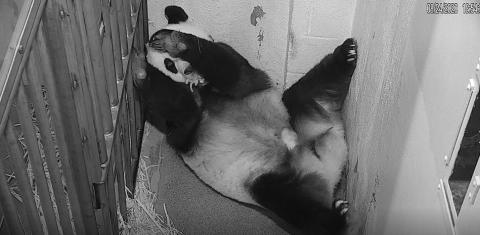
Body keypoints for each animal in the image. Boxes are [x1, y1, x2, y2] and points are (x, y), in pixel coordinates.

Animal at [138, 5, 356, 235]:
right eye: (169, 64)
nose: (188, 71)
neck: (204, 89)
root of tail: (327, 165)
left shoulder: (243, 81)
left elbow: (231, 71)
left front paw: (174, 42)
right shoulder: (184, 127)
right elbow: (176, 114)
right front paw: (144, 70)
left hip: (290, 116)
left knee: (315, 85)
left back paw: (347, 53)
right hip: (265, 180)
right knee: (297, 205)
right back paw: (338, 216)